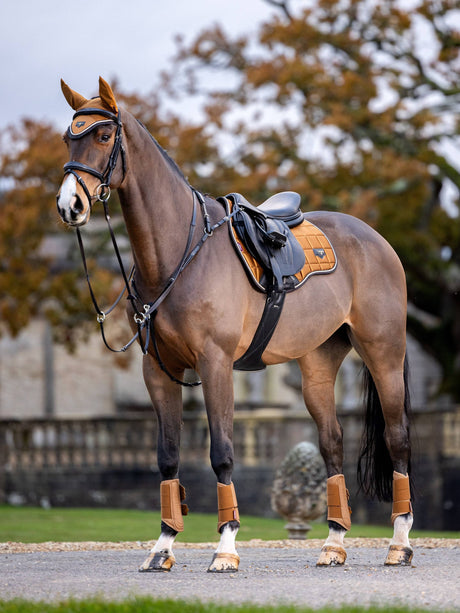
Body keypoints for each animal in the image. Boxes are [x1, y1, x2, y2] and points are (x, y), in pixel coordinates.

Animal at [56, 79, 414, 572]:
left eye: (104, 136)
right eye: (67, 138)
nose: (68, 204)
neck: (178, 252)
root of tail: (376, 240)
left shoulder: (215, 363)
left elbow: (222, 453)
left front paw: (225, 547)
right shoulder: (158, 370)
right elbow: (168, 457)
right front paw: (163, 546)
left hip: (384, 353)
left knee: (397, 441)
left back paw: (399, 543)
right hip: (318, 366)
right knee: (332, 443)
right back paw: (334, 543)